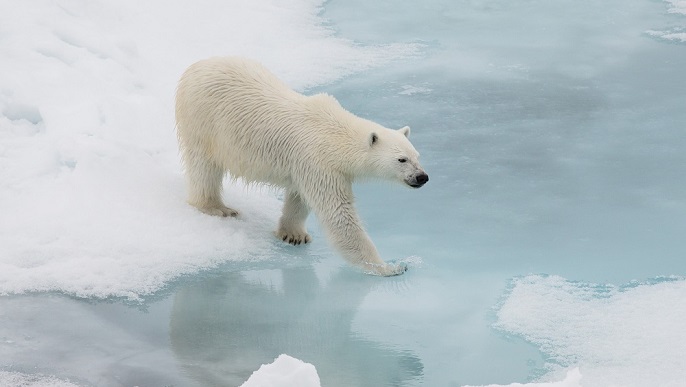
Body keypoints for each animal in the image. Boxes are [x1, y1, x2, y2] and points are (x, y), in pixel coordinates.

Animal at [175, 56, 428, 276]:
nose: (422, 177)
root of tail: (195, 68)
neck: (334, 135)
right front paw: (389, 267)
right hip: (203, 121)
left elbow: (299, 198)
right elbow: (339, 215)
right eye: (402, 159)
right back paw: (218, 208)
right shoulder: (318, 163)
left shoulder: (305, 166)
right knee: (204, 167)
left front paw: (293, 235)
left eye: (417, 155)